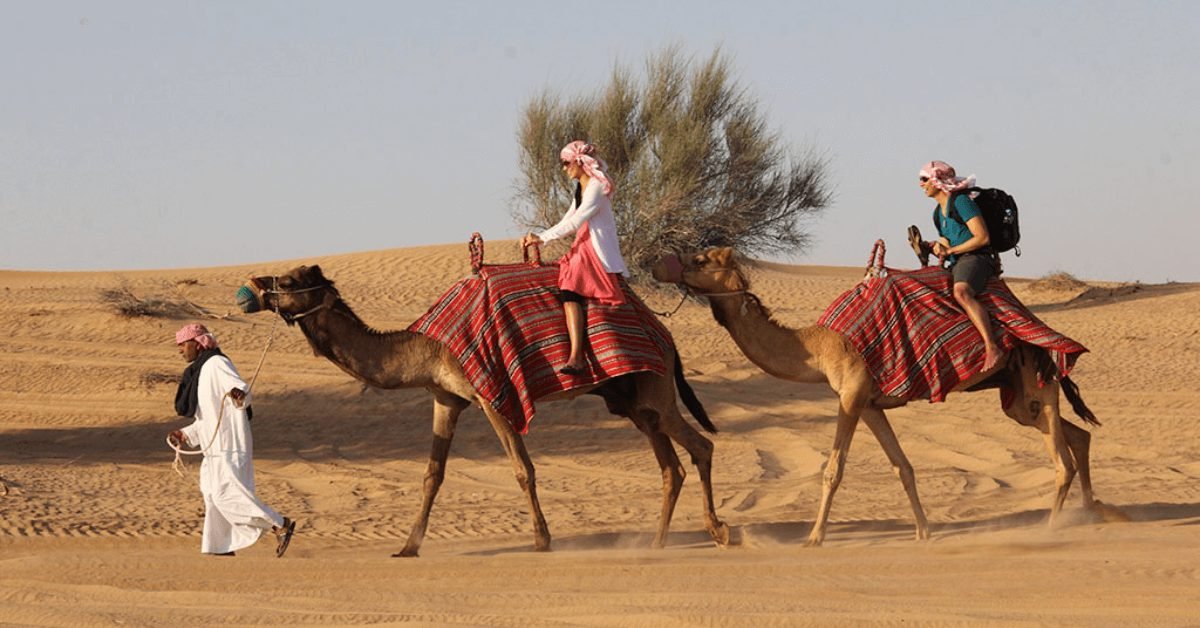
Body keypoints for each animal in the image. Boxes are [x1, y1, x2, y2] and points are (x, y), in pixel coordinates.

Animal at [236, 264, 729, 554]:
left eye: (291, 281)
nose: (252, 287)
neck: (427, 346)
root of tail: (665, 336)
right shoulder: (446, 397)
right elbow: (432, 474)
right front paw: (408, 546)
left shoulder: (492, 395)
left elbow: (522, 469)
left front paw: (542, 539)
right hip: (630, 400)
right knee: (670, 465)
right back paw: (655, 542)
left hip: (653, 389)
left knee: (701, 446)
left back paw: (718, 531)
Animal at [652, 248, 1099, 547]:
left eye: (701, 259)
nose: (660, 264)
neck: (818, 345)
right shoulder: (868, 403)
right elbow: (903, 466)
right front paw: (924, 530)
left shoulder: (850, 395)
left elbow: (833, 469)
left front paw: (814, 538)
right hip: (1020, 398)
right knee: (1077, 436)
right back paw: (1095, 511)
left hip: (1036, 378)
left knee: (1061, 460)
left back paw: (1051, 528)